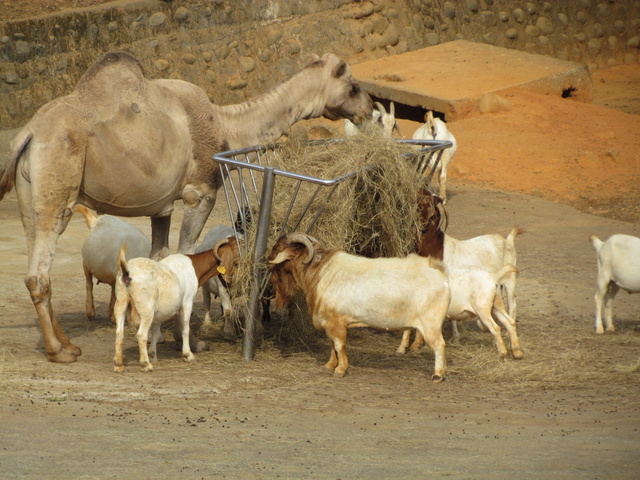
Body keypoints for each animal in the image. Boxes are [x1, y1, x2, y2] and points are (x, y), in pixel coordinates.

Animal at [114, 238, 239, 374]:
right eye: (238, 246)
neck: (194, 266)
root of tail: (127, 271)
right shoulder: (187, 301)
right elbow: (185, 328)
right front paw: (188, 355)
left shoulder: (159, 312)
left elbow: (156, 331)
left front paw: (153, 355)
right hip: (146, 310)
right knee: (141, 335)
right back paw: (145, 364)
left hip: (121, 303)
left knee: (119, 332)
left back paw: (118, 364)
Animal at [268, 232, 452, 382]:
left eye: (278, 248)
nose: (268, 261)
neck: (320, 272)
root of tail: (441, 276)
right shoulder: (329, 322)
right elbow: (331, 345)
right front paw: (330, 366)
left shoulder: (336, 323)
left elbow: (339, 345)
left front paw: (340, 370)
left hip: (430, 323)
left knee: (439, 345)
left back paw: (438, 375)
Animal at [396, 262, 524, 360]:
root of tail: (493, 278)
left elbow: (408, 329)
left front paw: (402, 348)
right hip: (496, 305)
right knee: (510, 322)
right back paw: (517, 352)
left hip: (482, 308)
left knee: (495, 327)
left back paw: (503, 353)